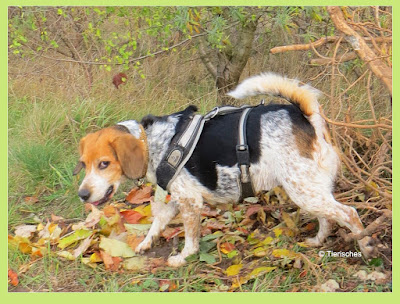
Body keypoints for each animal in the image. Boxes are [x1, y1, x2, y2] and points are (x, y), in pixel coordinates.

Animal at [74, 73, 372, 266]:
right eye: (84, 164)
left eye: (104, 163)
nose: (82, 195)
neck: (153, 140)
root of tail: (304, 117)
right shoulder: (181, 197)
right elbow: (158, 221)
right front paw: (147, 242)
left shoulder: (190, 202)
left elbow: (191, 237)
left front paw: (183, 257)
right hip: (307, 189)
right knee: (328, 217)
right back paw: (318, 241)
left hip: (304, 191)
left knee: (349, 213)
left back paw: (366, 246)